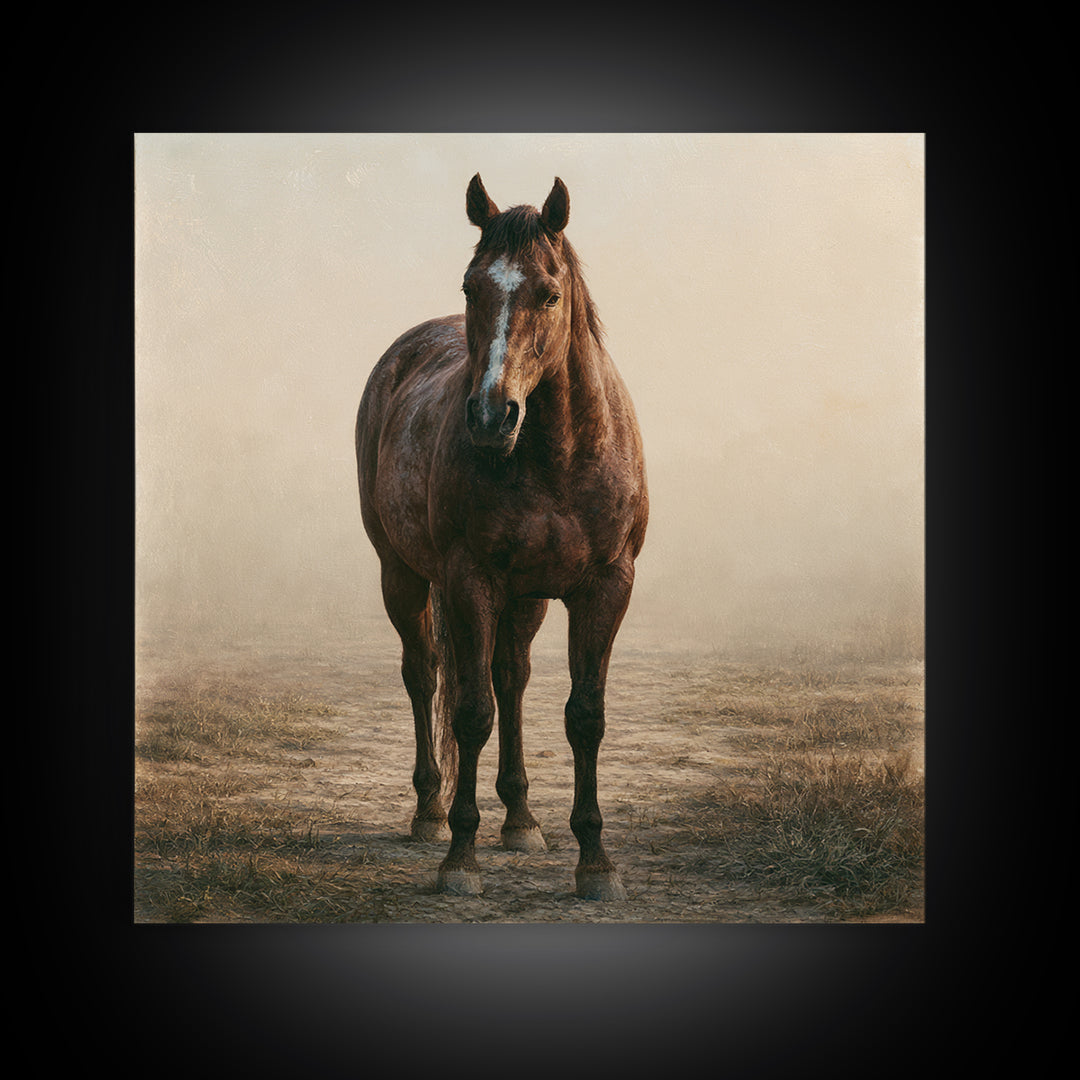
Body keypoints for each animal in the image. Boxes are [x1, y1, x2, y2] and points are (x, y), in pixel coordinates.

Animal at [355, 174, 648, 900]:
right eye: (470, 287)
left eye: (549, 292)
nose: (491, 416)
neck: (557, 457)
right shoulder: (469, 582)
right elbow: (469, 713)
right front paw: (460, 858)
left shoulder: (605, 587)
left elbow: (584, 715)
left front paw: (595, 861)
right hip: (402, 575)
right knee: (425, 673)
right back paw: (430, 811)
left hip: (527, 598)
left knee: (510, 676)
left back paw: (519, 817)